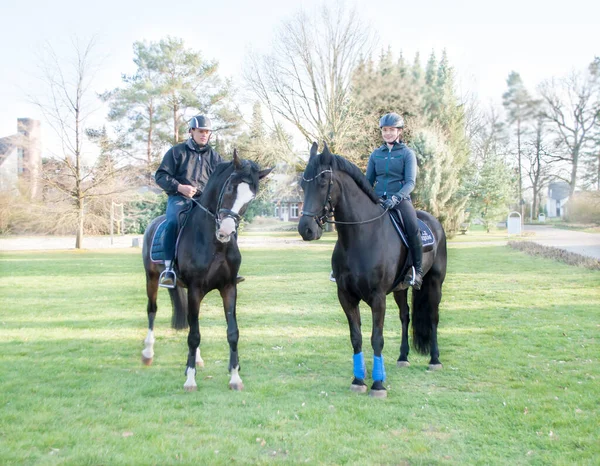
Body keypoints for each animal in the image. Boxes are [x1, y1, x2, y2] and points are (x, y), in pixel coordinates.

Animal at [141, 151, 272, 392]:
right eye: (229, 187)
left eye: (251, 198)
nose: (226, 231)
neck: (215, 244)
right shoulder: (195, 289)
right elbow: (194, 335)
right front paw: (190, 380)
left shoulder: (229, 288)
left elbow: (232, 332)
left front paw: (235, 378)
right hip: (151, 278)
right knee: (152, 311)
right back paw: (147, 353)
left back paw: (197, 360)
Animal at [298, 142, 448, 396]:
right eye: (302, 184)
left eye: (322, 182)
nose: (305, 229)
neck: (361, 236)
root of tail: (434, 221)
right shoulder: (346, 296)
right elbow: (356, 337)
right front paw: (358, 379)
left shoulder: (378, 298)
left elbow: (377, 338)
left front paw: (378, 384)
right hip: (400, 289)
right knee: (405, 316)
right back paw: (403, 357)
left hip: (435, 283)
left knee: (433, 317)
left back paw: (435, 360)